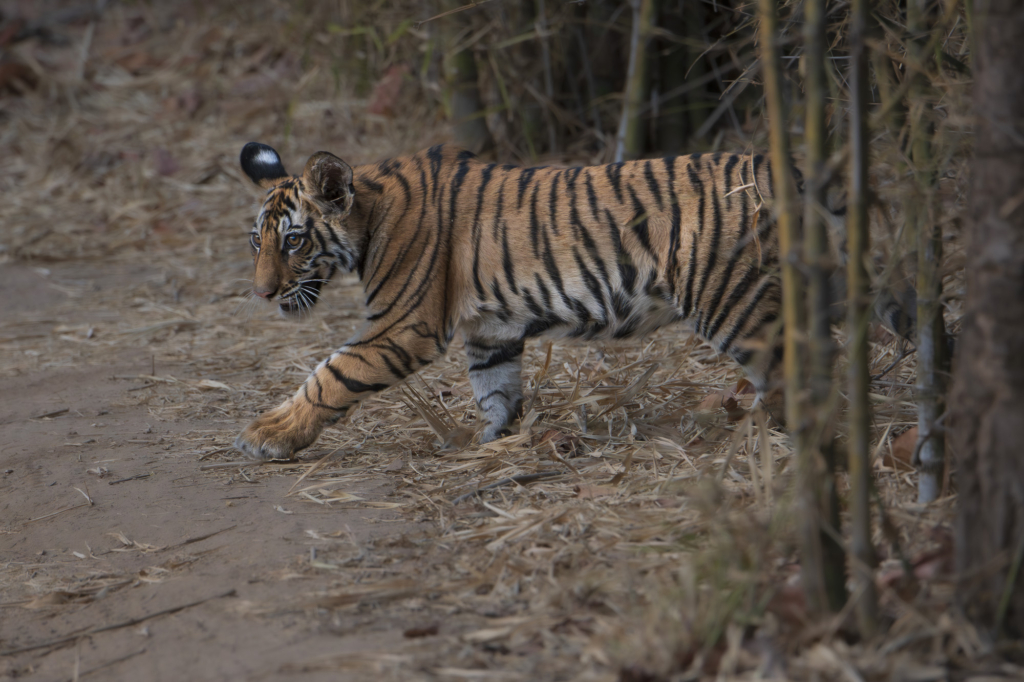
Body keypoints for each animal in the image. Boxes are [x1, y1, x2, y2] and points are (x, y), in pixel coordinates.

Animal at [232, 141, 872, 458]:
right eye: (256, 241)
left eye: (294, 240)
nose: (263, 293)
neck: (369, 215)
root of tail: (783, 166)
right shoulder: (490, 331)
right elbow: (494, 389)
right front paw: (488, 441)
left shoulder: (402, 326)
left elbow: (330, 375)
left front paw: (267, 435)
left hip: (730, 299)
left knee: (794, 368)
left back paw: (773, 432)